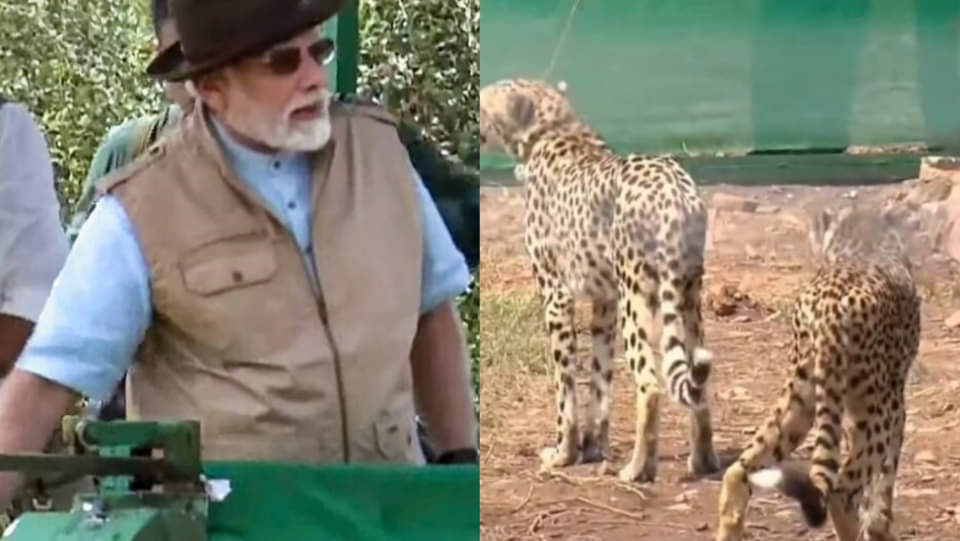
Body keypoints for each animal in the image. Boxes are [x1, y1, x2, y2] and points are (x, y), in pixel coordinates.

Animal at [480, 77, 720, 483]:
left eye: (484, 104)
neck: (555, 130)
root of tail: (675, 189)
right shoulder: (605, 301)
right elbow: (600, 379)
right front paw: (593, 448)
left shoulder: (557, 295)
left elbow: (565, 386)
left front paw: (563, 453)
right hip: (688, 295)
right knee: (696, 383)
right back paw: (703, 461)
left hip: (637, 297)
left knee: (650, 384)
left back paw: (637, 469)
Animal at [715, 204, 921, 541]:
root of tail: (828, 309)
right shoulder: (894, 403)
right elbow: (886, 476)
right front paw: (880, 523)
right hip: (875, 409)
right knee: (841, 491)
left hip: (801, 398)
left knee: (739, 469)